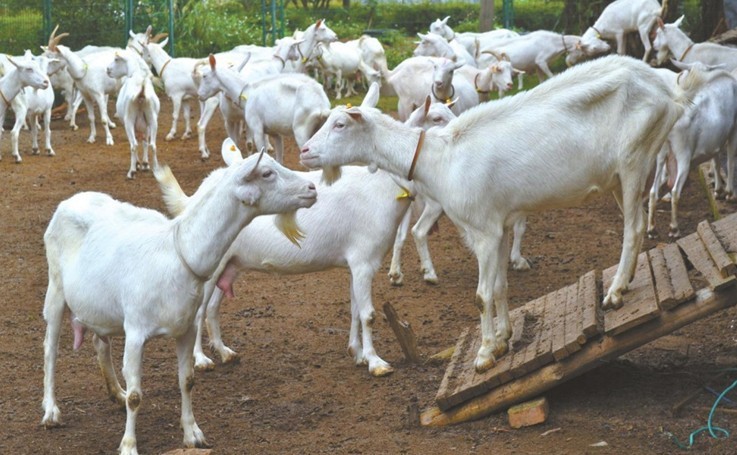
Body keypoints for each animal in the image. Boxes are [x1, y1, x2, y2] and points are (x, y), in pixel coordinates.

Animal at [40, 152, 316, 455]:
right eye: (267, 173)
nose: (312, 188)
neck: (178, 252)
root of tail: (71, 200)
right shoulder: (135, 332)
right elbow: (136, 396)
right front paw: (129, 445)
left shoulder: (186, 329)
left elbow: (187, 381)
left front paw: (193, 434)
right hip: (55, 290)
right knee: (51, 349)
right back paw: (51, 411)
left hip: (101, 308)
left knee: (100, 344)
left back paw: (115, 391)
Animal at [107, 51, 160, 180]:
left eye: (116, 59)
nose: (107, 70)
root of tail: (141, 94)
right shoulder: (146, 125)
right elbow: (145, 142)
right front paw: (145, 164)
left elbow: (136, 142)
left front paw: (138, 164)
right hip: (153, 119)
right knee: (152, 144)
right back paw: (157, 169)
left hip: (129, 121)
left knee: (134, 145)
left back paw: (131, 172)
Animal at [156, 136, 412, 378]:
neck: (380, 189)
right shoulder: (364, 263)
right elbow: (368, 314)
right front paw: (376, 363)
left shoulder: (355, 267)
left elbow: (355, 310)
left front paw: (357, 355)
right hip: (210, 271)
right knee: (200, 312)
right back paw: (201, 359)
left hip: (229, 265)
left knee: (211, 309)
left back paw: (224, 352)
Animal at [300, 53, 708, 374]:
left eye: (340, 124)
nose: (304, 152)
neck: (441, 159)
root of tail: (670, 90)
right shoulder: (496, 226)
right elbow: (499, 286)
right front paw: (502, 339)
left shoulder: (483, 230)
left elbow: (482, 294)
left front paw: (483, 355)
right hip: (620, 177)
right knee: (634, 227)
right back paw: (627, 282)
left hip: (634, 160)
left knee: (633, 227)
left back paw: (616, 292)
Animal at [644, 62, 736, 240]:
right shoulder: (732, 132)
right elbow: (730, 160)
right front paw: (729, 193)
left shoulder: (716, 139)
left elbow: (716, 161)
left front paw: (718, 190)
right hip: (683, 158)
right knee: (675, 192)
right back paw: (674, 229)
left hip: (661, 156)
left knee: (653, 191)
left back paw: (652, 229)